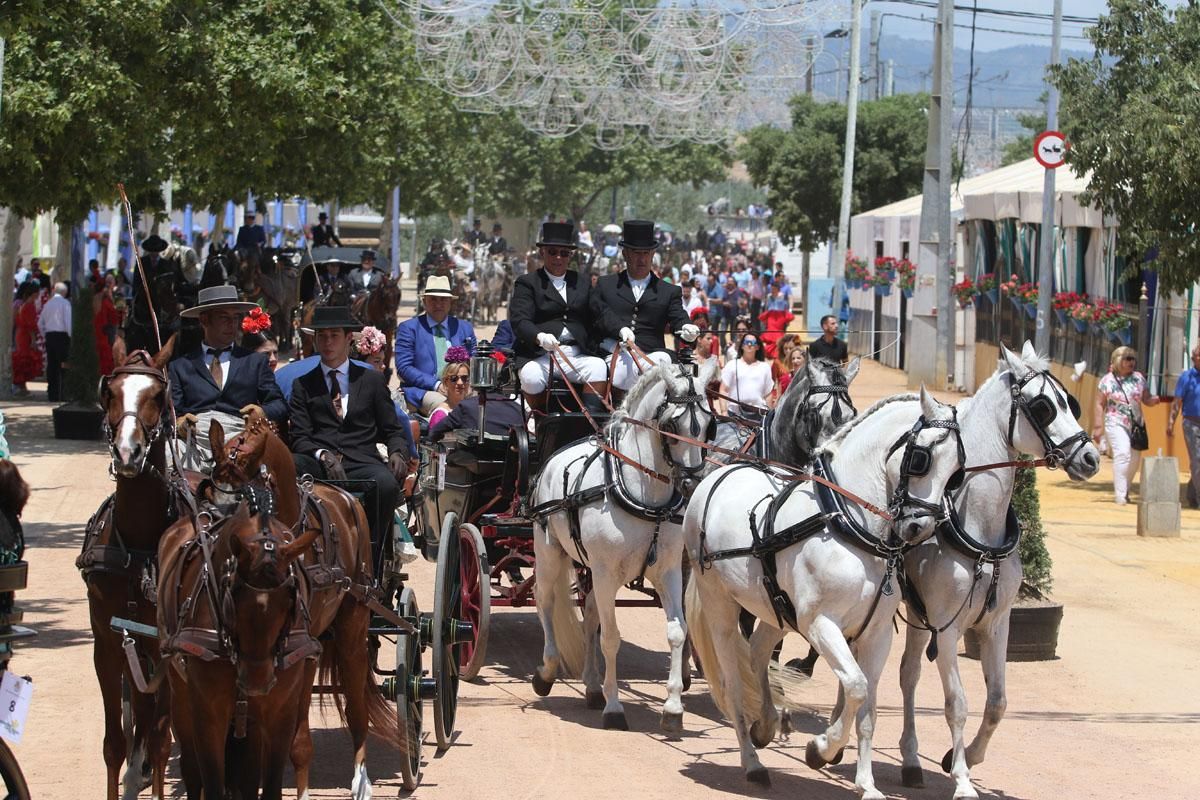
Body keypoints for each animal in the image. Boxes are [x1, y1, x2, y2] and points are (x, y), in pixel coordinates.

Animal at [208, 417, 405, 796]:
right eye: (206, 491)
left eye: (244, 499)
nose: (215, 547)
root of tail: (344, 494)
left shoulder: (303, 649)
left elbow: (298, 737)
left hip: (352, 627)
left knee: (357, 705)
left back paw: (361, 778)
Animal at [532, 359, 715, 734]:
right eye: (671, 424)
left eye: (708, 425)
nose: (692, 484)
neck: (644, 495)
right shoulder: (605, 572)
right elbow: (611, 638)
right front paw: (615, 707)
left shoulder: (669, 571)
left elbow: (677, 632)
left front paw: (673, 708)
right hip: (550, 553)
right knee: (546, 601)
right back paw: (547, 670)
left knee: (589, 614)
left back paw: (591, 686)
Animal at [686, 388, 964, 796]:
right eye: (921, 458)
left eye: (957, 472)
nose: (919, 528)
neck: (848, 525)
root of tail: (718, 474)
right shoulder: (820, 625)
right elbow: (857, 686)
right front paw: (822, 747)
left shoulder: (877, 634)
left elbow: (869, 710)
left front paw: (866, 784)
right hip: (720, 604)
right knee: (733, 682)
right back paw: (752, 763)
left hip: (776, 611)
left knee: (758, 653)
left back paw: (766, 723)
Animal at [902, 340, 1099, 796]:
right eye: (1044, 406)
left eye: (1071, 401)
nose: (1091, 457)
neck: (977, 527)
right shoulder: (946, 627)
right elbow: (957, 704)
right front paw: (961, 778)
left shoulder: (997, 623)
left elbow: (997, 703)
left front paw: (965, 758)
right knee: (907, 675)